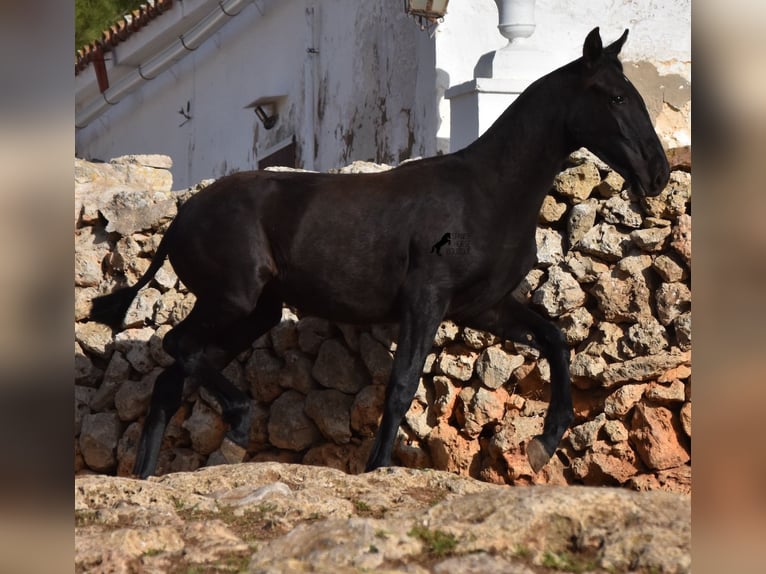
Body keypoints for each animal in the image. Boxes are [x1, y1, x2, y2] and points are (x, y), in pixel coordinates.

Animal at [90, 30, 672, 482]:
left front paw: (544, 442)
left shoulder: (483, 307)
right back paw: (235, 422)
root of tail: (183, 216)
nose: (658, 174)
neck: (488, 191)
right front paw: (377, 467)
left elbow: (554, 339)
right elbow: (402, 384)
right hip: (232, 300)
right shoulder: (426, 298)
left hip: (255, 313)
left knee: (171, 381)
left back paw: (146, 477)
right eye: (615, 97)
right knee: (177, 346)